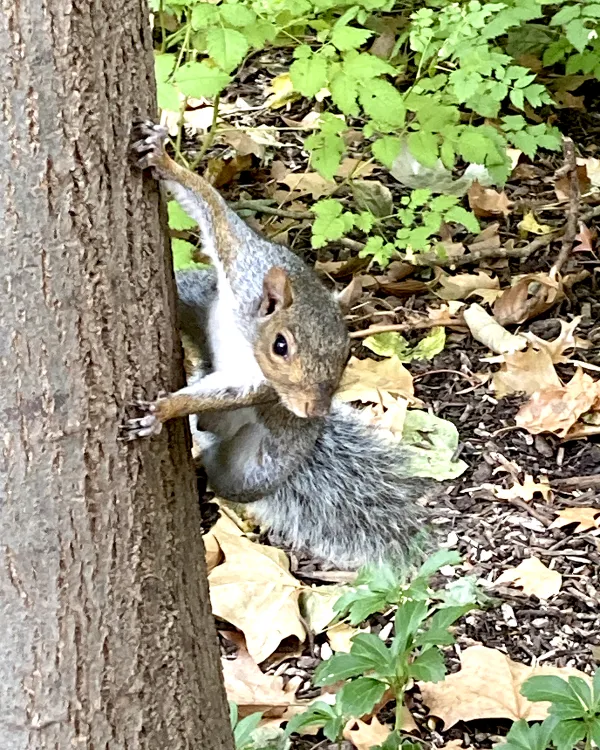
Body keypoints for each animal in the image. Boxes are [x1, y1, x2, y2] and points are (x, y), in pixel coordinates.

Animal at [125, 121, 431, 569]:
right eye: (281, 346)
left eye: (346, 353)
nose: (314, 410)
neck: (248, 333)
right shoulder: (245, 264)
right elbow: (214, 211)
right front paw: (164, 160)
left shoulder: (256, 384)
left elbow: (222, 393)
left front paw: (163, 411)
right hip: (197, 291)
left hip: (255, 469)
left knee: (231, 478)